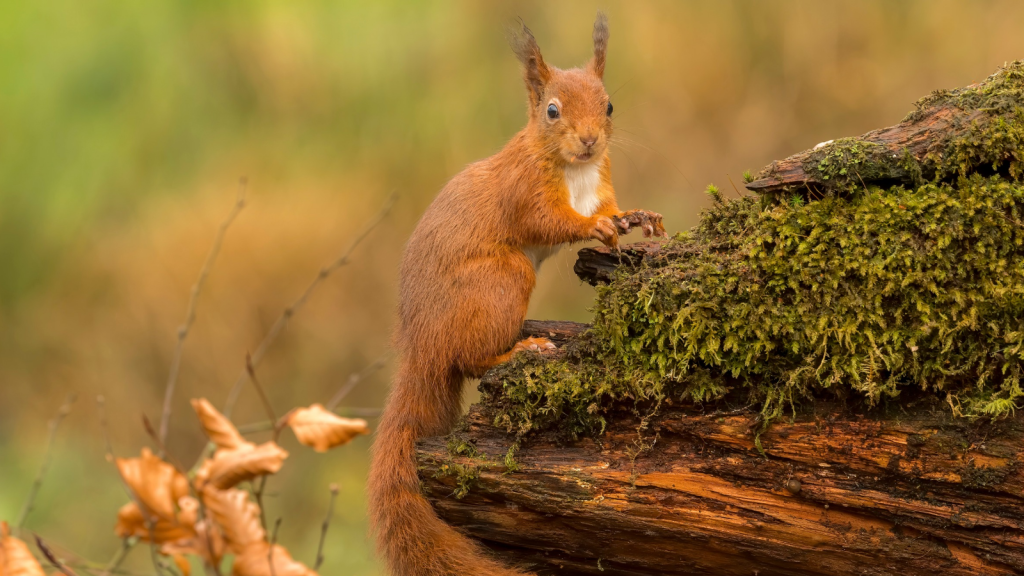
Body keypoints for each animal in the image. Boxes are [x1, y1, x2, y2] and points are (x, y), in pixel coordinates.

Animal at [372, 14, 667, 573]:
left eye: (609, 105)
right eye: (551, 110)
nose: (590, 140)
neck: (576, 171)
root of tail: (420, 347)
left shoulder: (601, 183)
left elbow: (614, 207)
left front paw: (635, 217)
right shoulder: (525, 191)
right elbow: (549, 221)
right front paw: (594, 227)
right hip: (503, 280)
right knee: (470, 360)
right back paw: (523, 348)